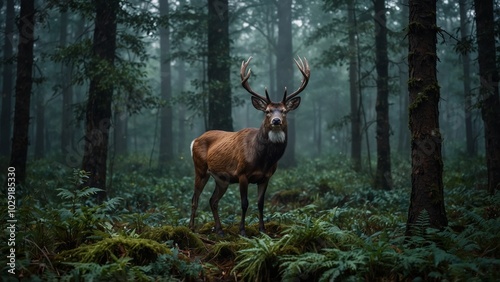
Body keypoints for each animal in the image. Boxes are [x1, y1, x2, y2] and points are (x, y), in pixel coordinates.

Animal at [189, 55, 310, 236]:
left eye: (284, 111)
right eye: (267, 111)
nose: (276, 121)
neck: (263, 159)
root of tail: (195, 140)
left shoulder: (266, 177)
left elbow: (260, 203)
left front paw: (262, 229)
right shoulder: (242, 173)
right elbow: (244, 203)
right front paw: (242, 231)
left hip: (222, 179)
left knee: (213, 200)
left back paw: (219, 230)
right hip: (200, 169)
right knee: (195, 198)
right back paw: (191, 228)